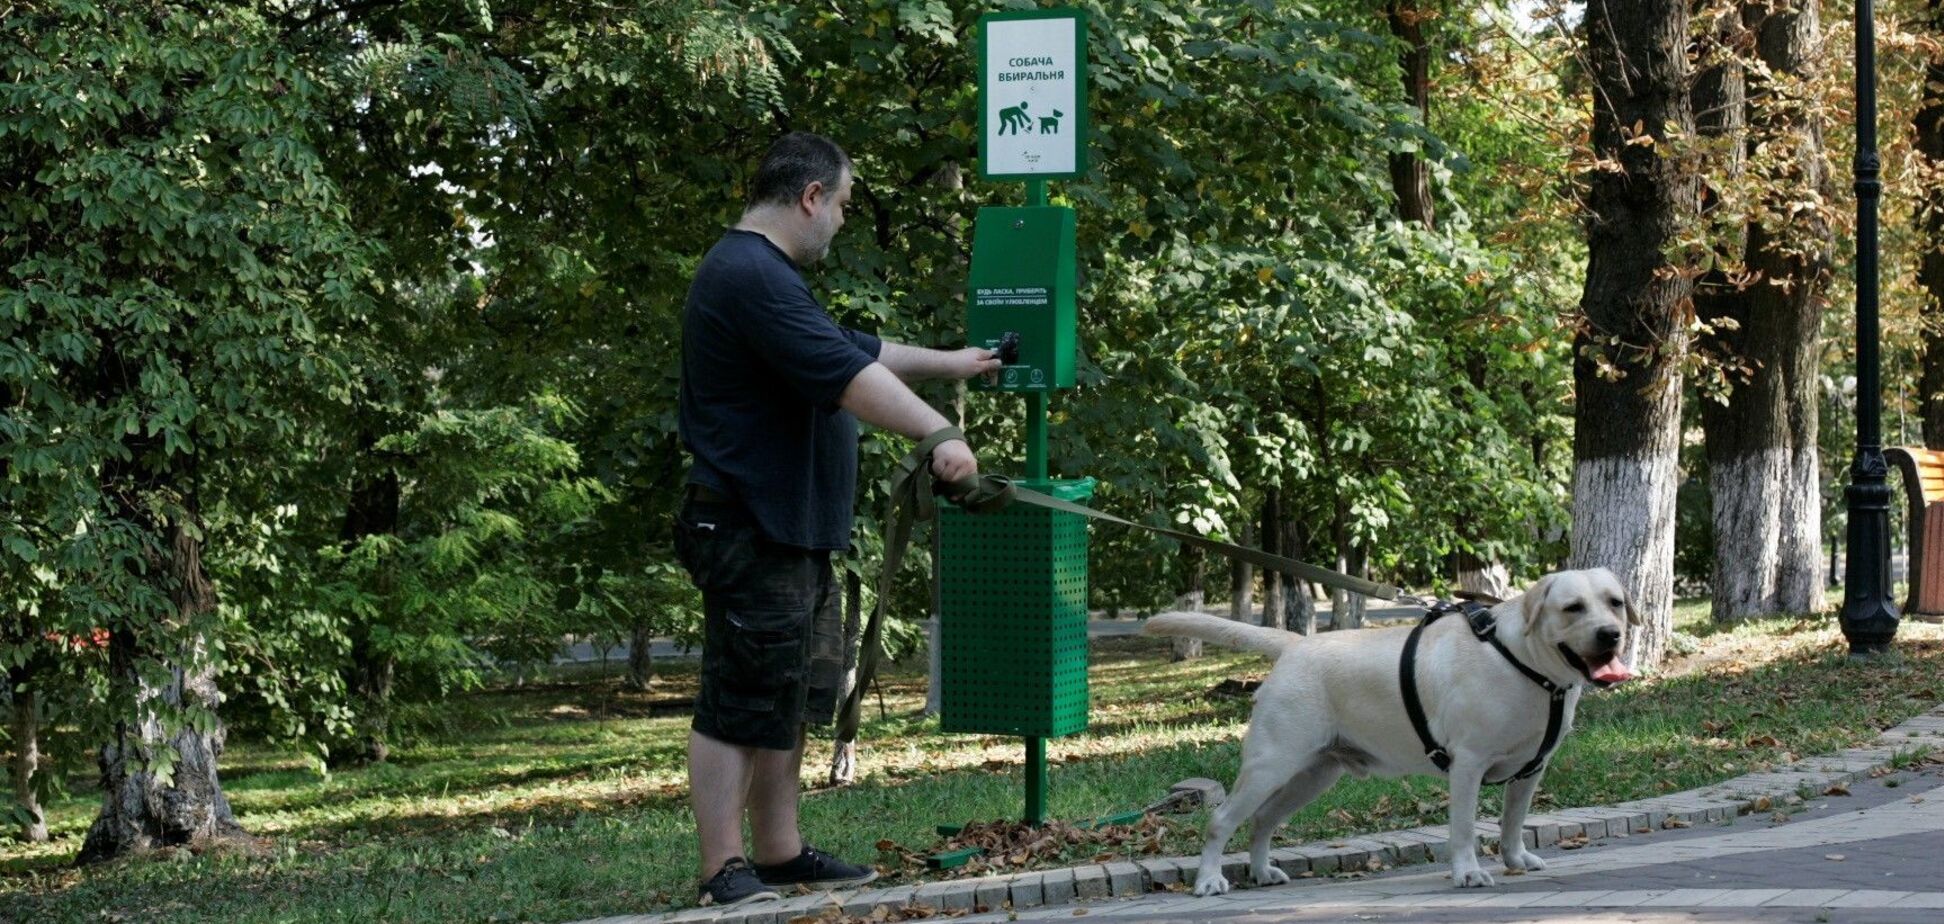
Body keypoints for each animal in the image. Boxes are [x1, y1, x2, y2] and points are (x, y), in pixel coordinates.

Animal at [1143, 568, 1632, 894]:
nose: (1611, 634)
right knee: (1222, 820)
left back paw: (1262, 873)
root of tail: (1297, 644)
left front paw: (1516, 859)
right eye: (1572, 608)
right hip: (1270, 764)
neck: (1525, 663)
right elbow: (1464, 827)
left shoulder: (1531, 769)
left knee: (1263, 820)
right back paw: (1209, 880)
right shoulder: (1468, 765)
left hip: (1314, 774)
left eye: (1615, 602)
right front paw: (1468, 872)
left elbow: (1513, 822)